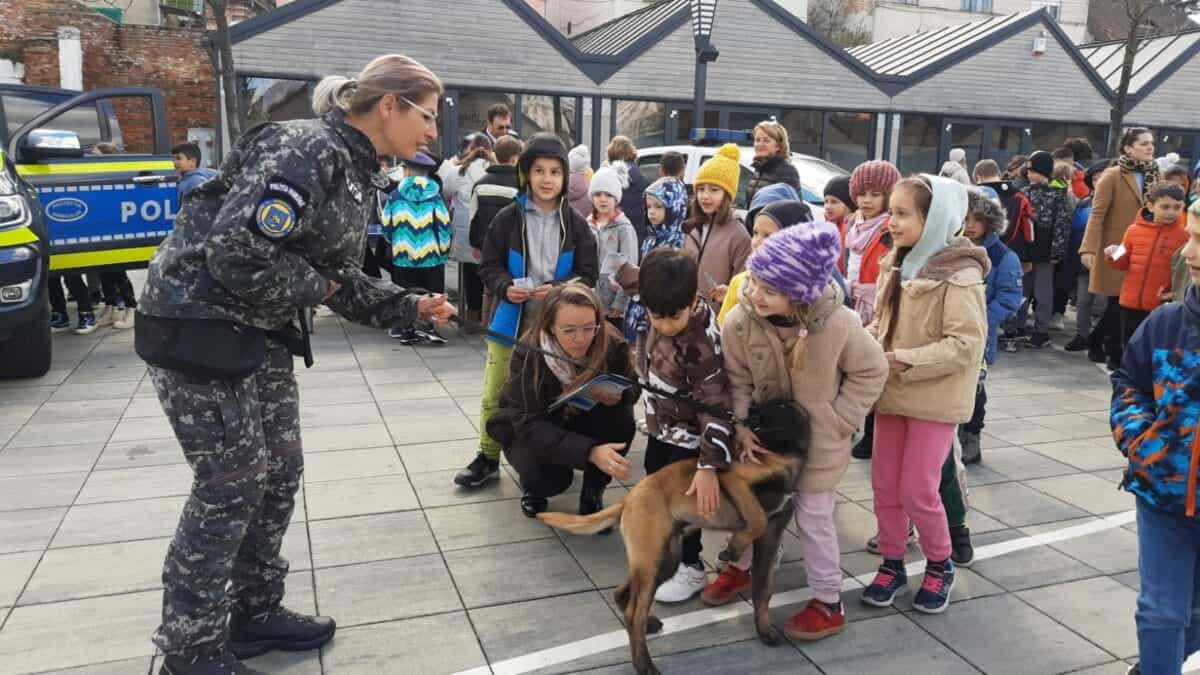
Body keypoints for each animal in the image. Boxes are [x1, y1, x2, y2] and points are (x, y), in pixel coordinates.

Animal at [537, 441, 801, 672]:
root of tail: (628, 499)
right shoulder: (734, 480)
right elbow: (756, 518)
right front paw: (733, 548)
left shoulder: (771, 538)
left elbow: (763, 589)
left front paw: (763, 629)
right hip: (652, 561)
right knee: (635, 614)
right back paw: (644, 665)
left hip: (663, 560)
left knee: (623, 594)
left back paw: (646, 628)